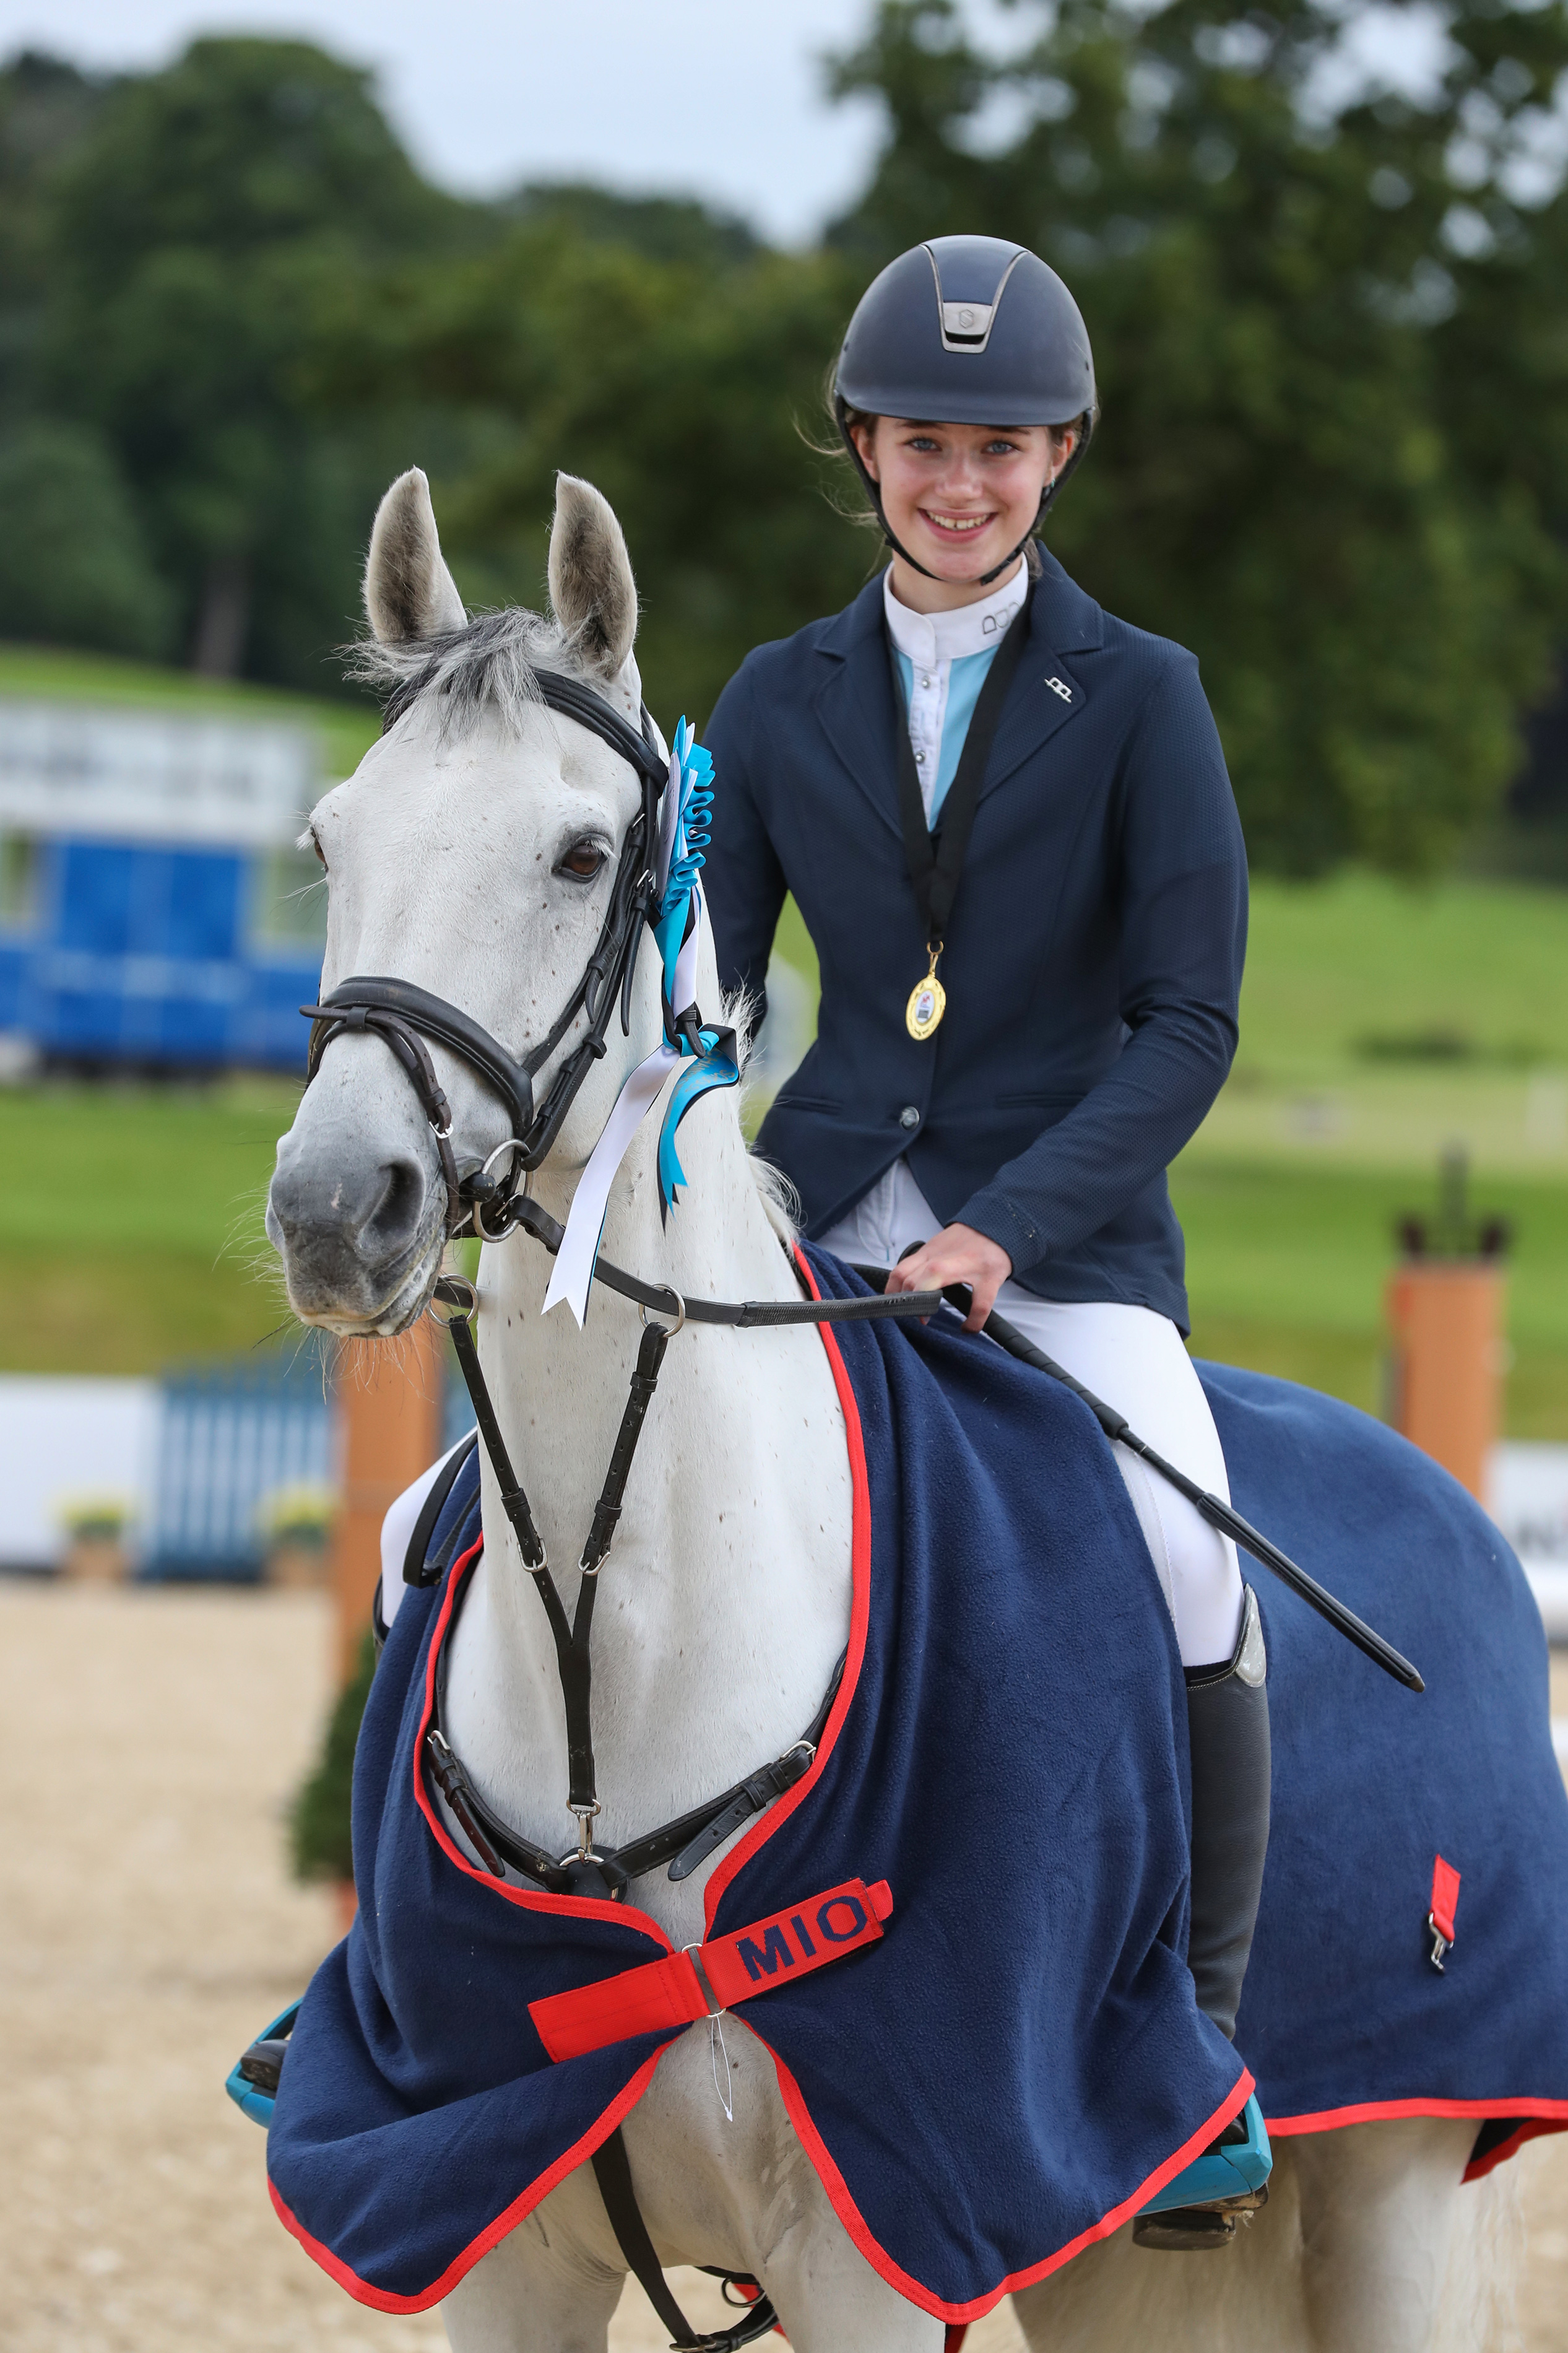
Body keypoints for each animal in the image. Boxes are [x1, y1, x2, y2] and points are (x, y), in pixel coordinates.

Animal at [264, 465, 1530, 2353]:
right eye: (330, 842)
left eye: (578, 855)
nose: (340, 1208)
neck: (618, 1641)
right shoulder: (489, 2227)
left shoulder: (876, 2227)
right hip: (1117, 2258)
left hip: (1389, 2178)